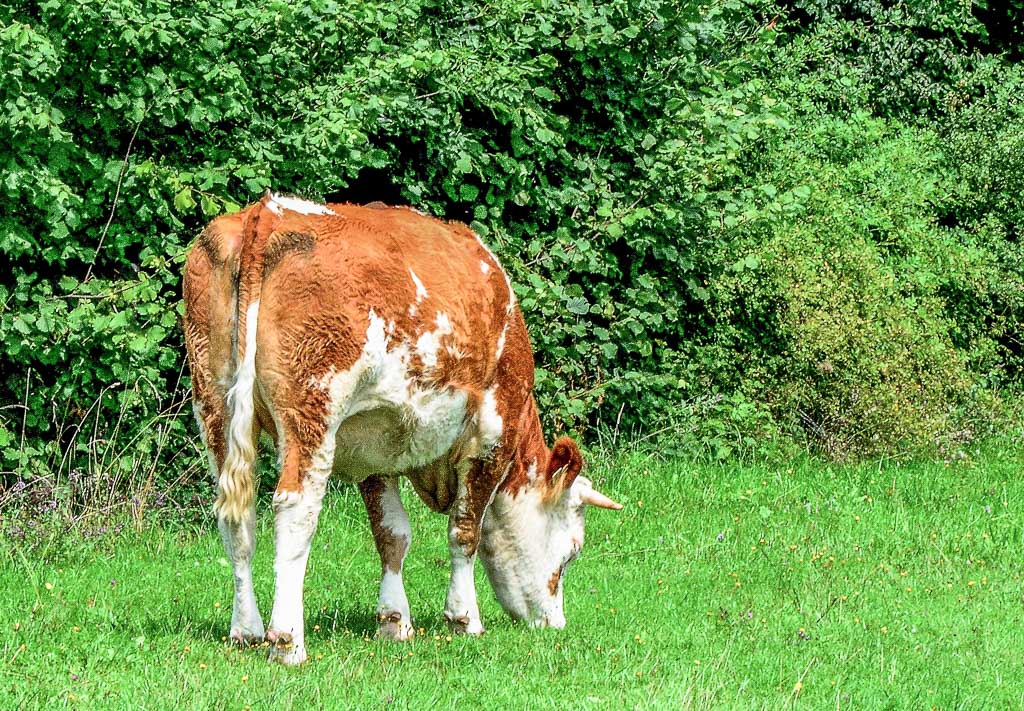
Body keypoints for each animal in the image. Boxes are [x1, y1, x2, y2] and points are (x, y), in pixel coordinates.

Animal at [182, 193, 621, 664]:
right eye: (573, 550)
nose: (554, 623)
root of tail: (267, 213)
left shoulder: (376, 446)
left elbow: (392, 534)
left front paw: (394, 622)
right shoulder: (491, 434)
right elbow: (465, 529)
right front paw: (464, 618)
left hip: (214, 406)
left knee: (237, 520)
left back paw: (245, 630)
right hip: (313, 409)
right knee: (295, 512)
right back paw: (287, 641)